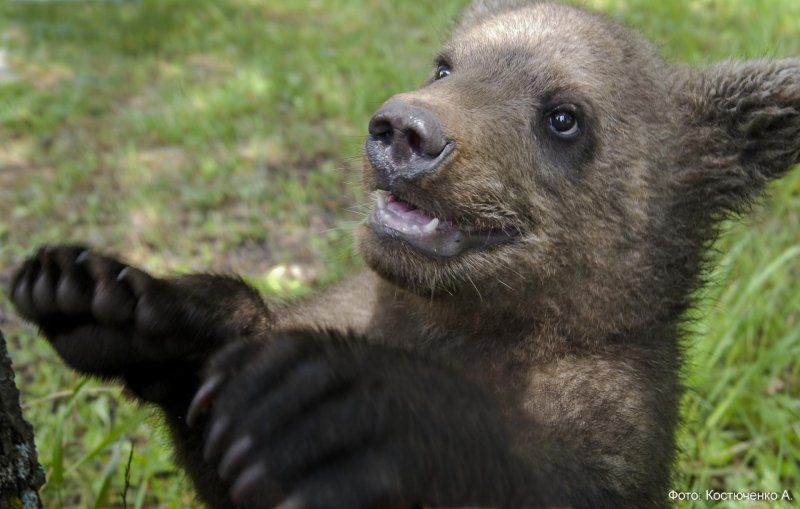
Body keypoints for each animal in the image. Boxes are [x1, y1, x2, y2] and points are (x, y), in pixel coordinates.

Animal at [7, 0, 800, 508]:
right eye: (445, 66)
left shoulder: (611, 418)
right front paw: (112, 298)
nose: (405, 130)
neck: (457, 323)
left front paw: (336, 404)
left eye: (565, 117)